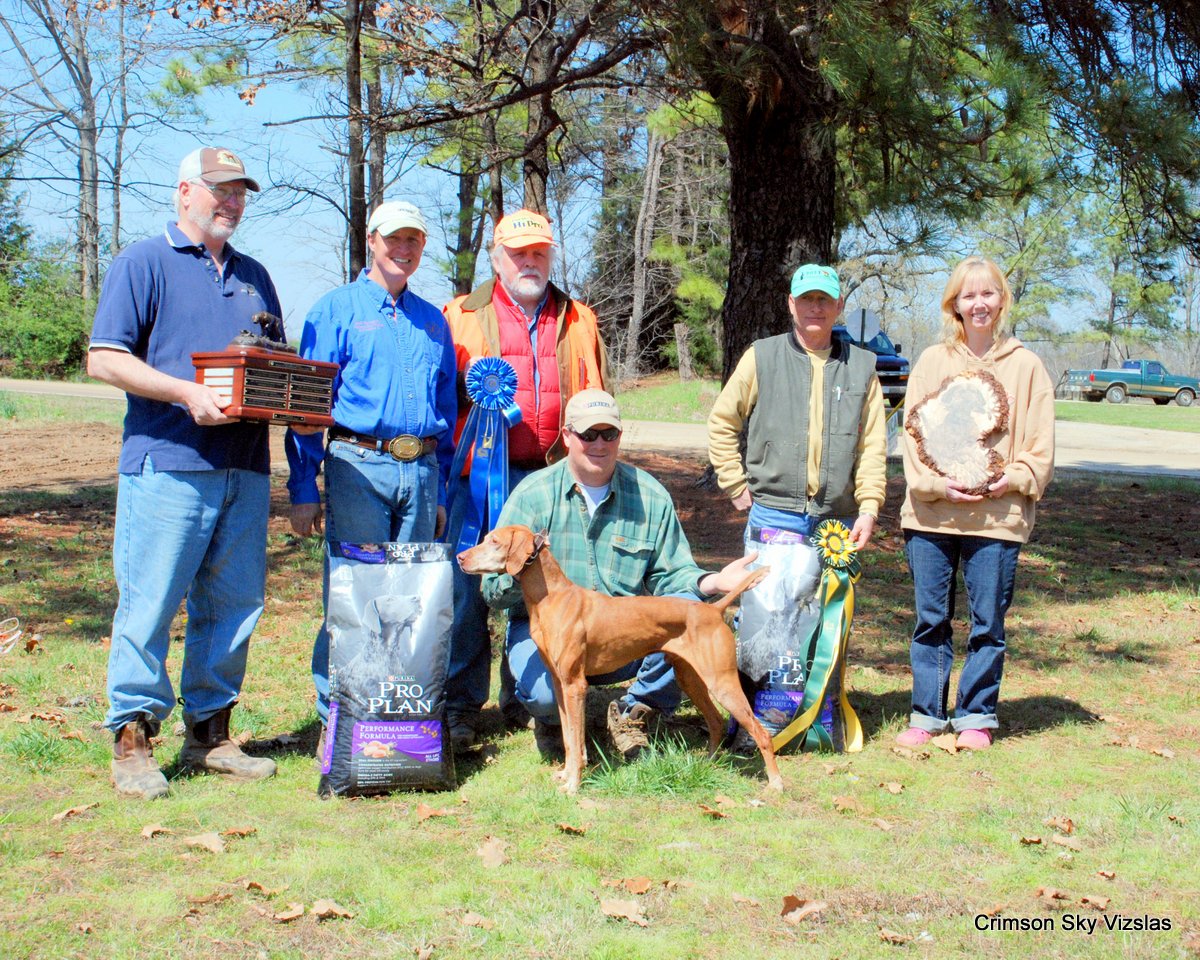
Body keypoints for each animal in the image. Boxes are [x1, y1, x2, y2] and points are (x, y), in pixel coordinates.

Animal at [453, 525, 782, 796]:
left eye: (494, 541)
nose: (459, 557)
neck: (552, 597)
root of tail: (714, 609)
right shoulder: (560, 686)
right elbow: (570, 739)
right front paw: (566, 775)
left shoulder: (575, 686)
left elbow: (576, 739)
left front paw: (574, 784)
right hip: (691, 678)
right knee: (714, 721)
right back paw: (710, 763)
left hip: (722, 682)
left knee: (761, 732)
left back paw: (775, 783)